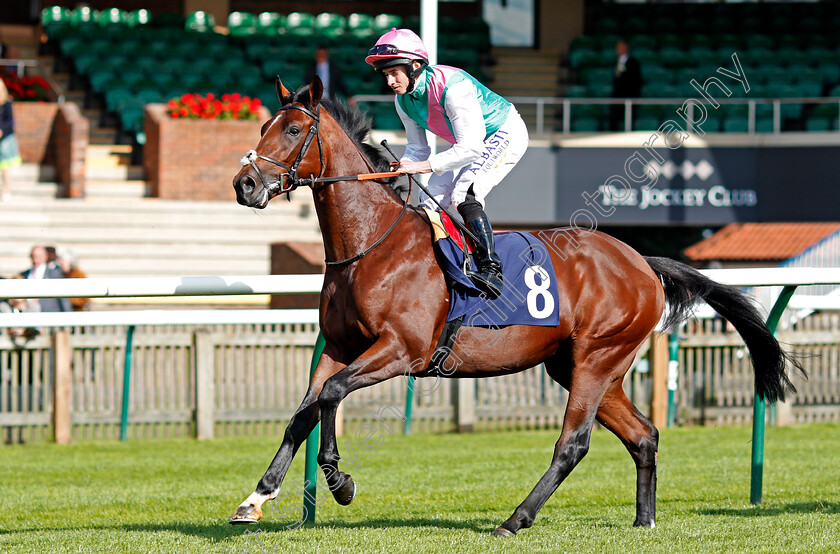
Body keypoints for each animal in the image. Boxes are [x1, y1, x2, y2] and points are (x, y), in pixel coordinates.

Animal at [228, 77, 800, 536]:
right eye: (264, 125)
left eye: (293, 130)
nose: (245, 183)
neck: (371, 244)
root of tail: (641, 261)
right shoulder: (340, 346)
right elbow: (303, 412)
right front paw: (256, 498)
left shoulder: (401, 350)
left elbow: (331, 396)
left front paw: (341, 481)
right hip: (581, 365)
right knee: (643, 435)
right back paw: (644, 520)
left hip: (597, 358)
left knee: (573, 444)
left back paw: (515, 519)